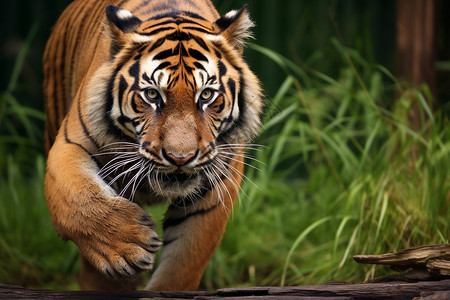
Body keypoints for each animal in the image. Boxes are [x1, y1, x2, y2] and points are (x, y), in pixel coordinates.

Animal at [44, 0, 262, 292]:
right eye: (151, 95)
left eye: (206, 95)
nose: (180, 158)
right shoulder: (70, 143)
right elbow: (77, 201)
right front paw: (127, 246)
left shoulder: (217, 185)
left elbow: (182, 267)